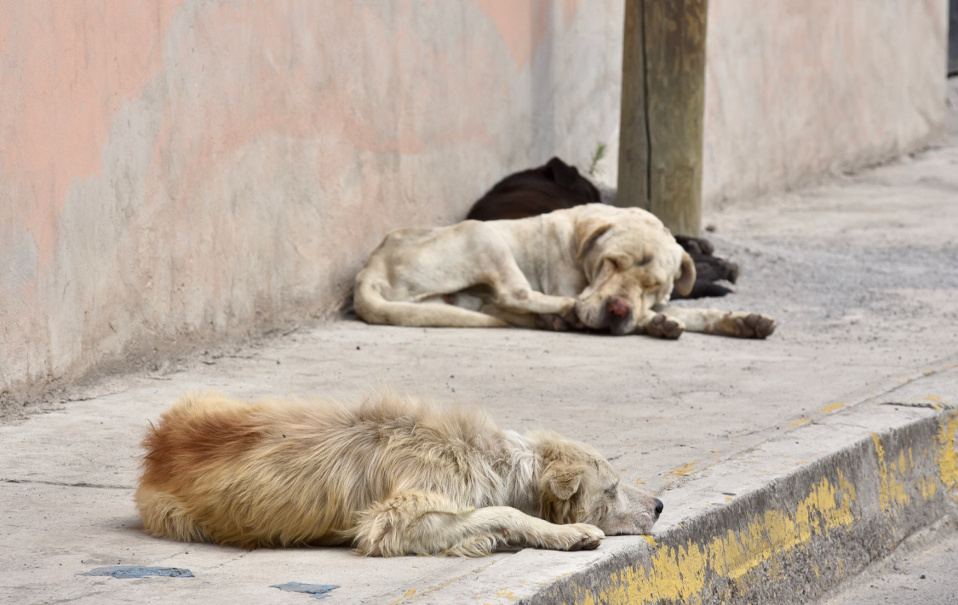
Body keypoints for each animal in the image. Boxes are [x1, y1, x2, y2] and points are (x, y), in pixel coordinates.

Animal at [135, 392, 664, 556]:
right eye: (613, 489)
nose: (661, 505)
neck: (491, 460)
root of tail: (157, 445)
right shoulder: (393, 521)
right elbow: (503, 511)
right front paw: (568, 533)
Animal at [356, 204, 776, 338]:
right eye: (611, 263)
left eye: (653, 284)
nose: (618, 310)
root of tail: (369, 270)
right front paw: (654, 322)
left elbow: (692, 311)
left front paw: (741, 319)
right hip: (482, 233)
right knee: (516, 293)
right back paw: (564, 312)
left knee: (505, 304)